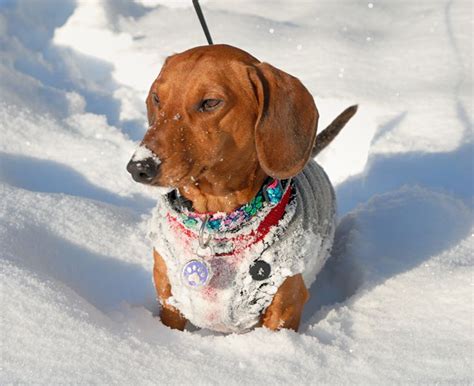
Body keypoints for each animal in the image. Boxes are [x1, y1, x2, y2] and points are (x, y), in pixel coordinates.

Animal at [126, 43, 356, 332]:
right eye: (157, 98)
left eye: (210, 103)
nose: (139, 166)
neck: (216, 224)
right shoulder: (169, 300)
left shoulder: (284, 308)